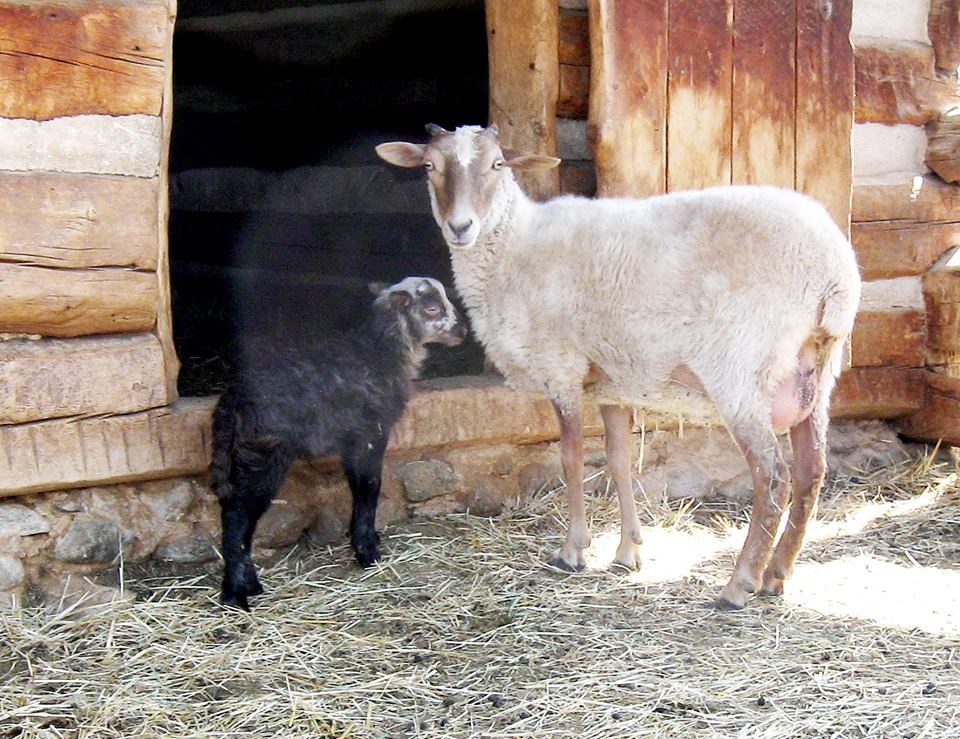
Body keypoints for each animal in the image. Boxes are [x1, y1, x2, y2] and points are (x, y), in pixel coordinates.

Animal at [209, 276, 466, 610]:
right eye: (433, 308)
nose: (463, 331)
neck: (381, 353)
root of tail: (232, 399)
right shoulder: (371, 433)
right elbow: (370, 486)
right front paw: (368, 552)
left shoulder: (351, 441)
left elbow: (357, 486)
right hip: (264, 454)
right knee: (238, 515)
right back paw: (236, 595)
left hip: (241, 455)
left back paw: (246, 584)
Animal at [376, 124, 862, 609]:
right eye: (429, 166)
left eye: (497, 164)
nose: (460, 227)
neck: (511, 247)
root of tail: (834, 271)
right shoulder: (613, 381)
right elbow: (619, 461)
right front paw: (628, 552)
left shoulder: (561, 368)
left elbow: (571, 458)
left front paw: (573, 551)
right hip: (816, 370)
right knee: (811, 472)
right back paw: (777, 575)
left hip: (741, 368)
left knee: (773, 477)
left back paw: (739, 584)